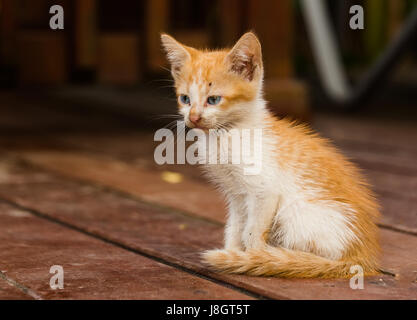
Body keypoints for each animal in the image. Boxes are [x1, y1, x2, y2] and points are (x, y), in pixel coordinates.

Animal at [160, 31, 380, 278]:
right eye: (185, 99)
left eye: (213, 99)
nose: (193, 118)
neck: (226, 135)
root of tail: (362, 257)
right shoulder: (236, 195)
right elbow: (235, 227)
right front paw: (233, 251)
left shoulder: (265, 190)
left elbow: (252, 232)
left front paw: (255, 257)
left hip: (293, 213)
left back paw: (291, 259)